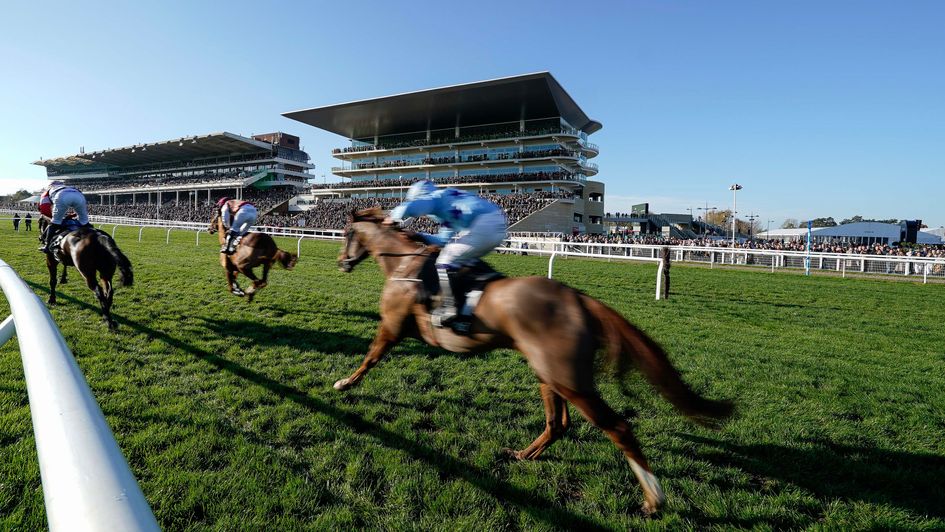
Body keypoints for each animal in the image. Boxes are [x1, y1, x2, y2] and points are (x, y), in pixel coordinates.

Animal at [336, 209, 732, 516]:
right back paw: (524, 454)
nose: (342, 262)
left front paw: (344, 383)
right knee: (558, 423)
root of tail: (580, 301)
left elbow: (370, 357)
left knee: (617, 427)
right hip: (550, 374)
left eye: (347, 233)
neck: (405, 262)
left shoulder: (391, 326)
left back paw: (653, 498)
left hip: (569, 380)